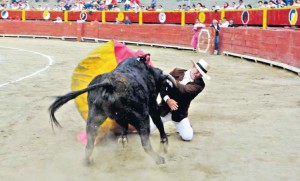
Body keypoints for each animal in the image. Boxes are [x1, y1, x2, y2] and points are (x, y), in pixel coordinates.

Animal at [48, 55, 176, 165]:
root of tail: (109, 84)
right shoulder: (152, 106)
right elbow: (158, 122)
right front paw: (164, 142)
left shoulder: (118, 116)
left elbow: (124, 126)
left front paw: (123, 140)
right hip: (142, 117)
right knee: (145, 142)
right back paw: (159, 159)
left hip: (95, 116)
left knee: (90, 141)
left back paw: (87, 160)